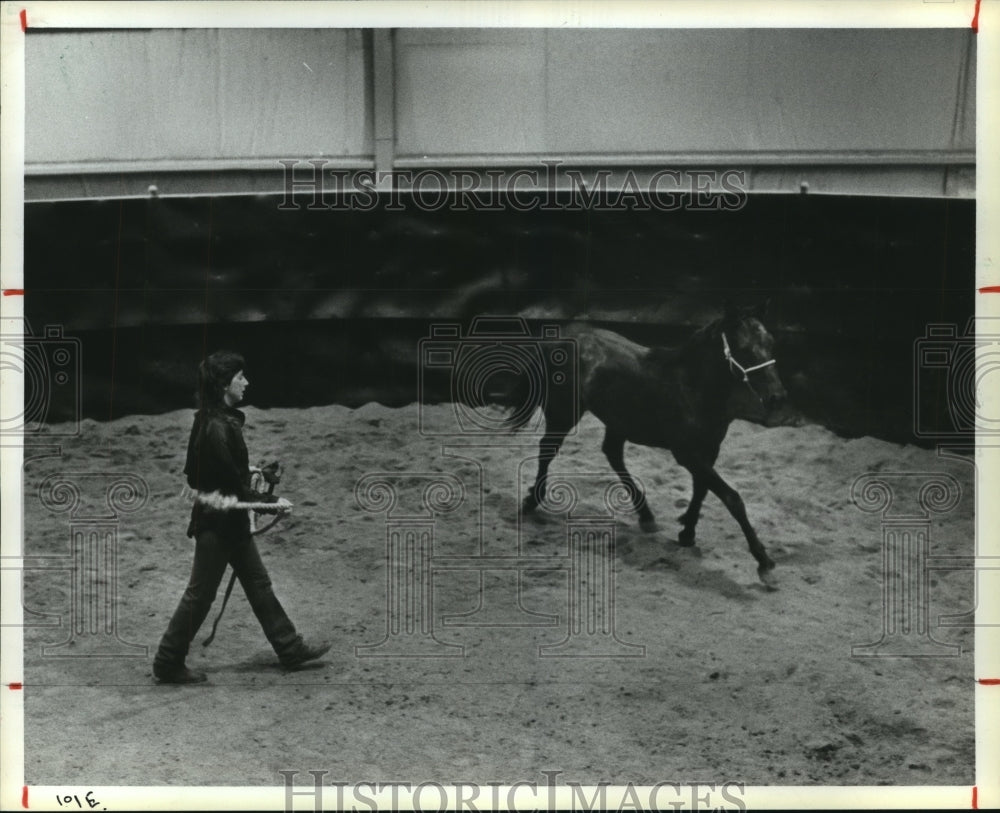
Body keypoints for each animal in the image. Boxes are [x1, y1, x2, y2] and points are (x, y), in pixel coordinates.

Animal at [512, 304, 784, 584]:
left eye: (770, 342)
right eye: (743, 348)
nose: (777, 397)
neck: (693, 388)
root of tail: (563, 338)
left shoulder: (709, 450)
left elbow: (702, 489)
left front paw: (687, 532)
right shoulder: (686, 453)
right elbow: (732, 498)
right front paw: (765, 563)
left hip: (616, 421)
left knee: (612, 453)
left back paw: (646, 516)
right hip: (563, 413)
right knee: (548, 449)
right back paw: (532, 500)